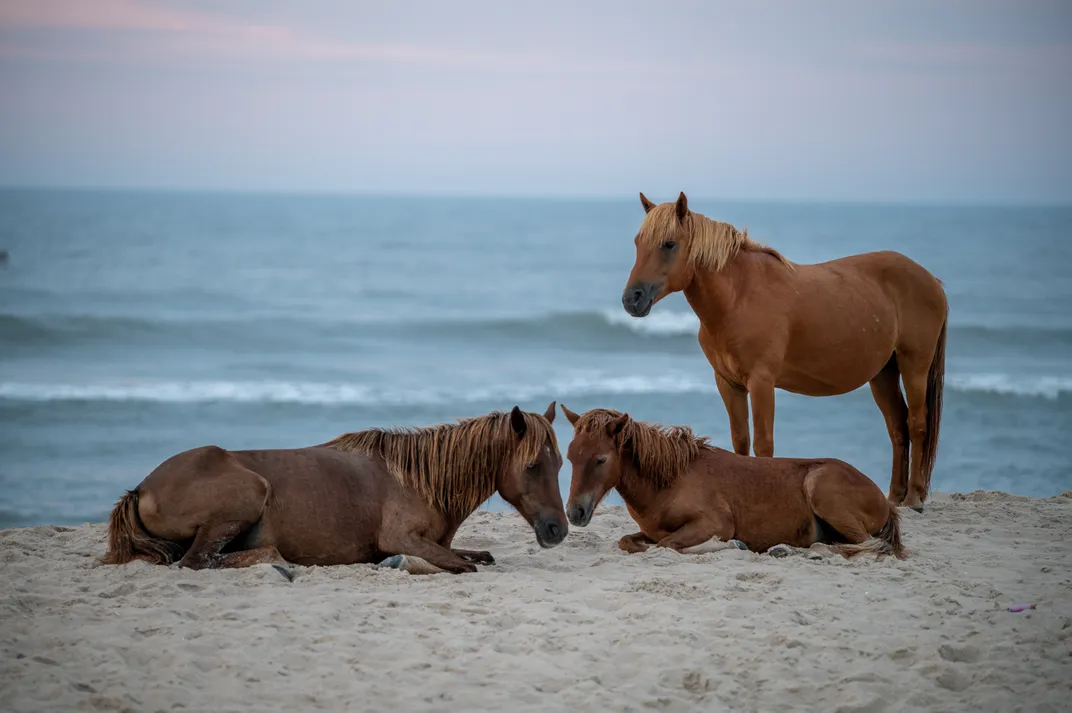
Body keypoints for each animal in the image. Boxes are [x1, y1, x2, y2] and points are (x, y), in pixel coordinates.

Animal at [102, 403, 570, 574]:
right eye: (533, 465)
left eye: (561, 463)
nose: (558, 530)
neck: (420, 480)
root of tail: (141, 488)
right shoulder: (402, 537)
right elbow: (460, 565)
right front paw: (397, 563)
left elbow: (477, 555)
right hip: (247, 497)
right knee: (198, 561)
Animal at [561, 403, 904, 557]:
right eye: (570, 457)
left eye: (601, 459)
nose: (574, 513)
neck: (670, 481)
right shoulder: (649, 531)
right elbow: (632, 541)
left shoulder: (713, 523)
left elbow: (668, 545)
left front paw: (731, 544)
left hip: (821, 488)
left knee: (867, 545)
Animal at [621, 191, 947, 508]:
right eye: (637, 243)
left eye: (669, 244)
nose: (631, 299)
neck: (739, 297)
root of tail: (931, 279)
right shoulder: (728, 383)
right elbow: (740, 440)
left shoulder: (762, 383)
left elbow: (764, 444)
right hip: (883, 373)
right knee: (897, 428)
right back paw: (895, 496)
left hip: (914, 367)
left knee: (916, 425)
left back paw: (914, 496)